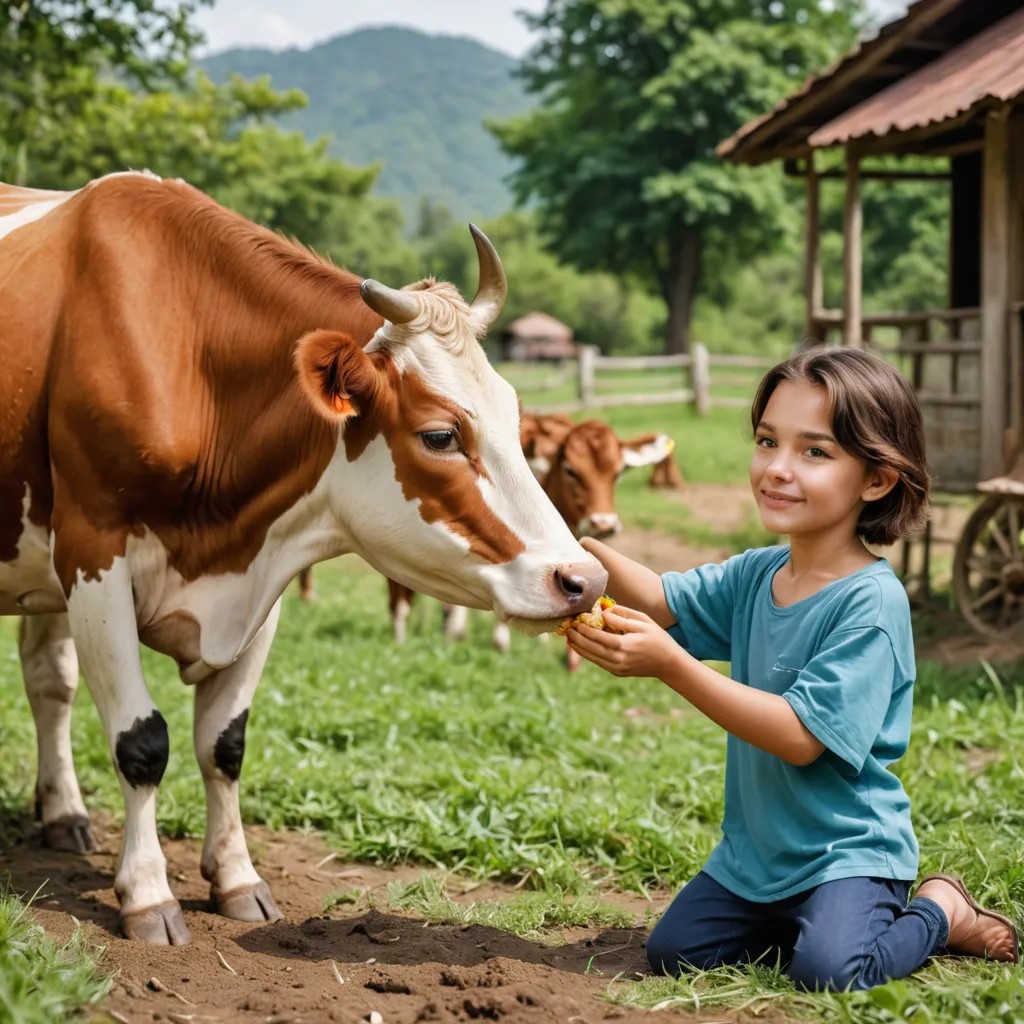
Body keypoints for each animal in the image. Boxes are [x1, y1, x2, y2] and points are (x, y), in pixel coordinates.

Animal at [0, 171, 607, 945]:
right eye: (441, 435)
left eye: (516, 418)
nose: (583, 577)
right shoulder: (92, 556)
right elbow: (142, 743)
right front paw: (147, 894)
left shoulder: (261, 582)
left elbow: (223, 744)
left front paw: (236, 878)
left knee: (49, 681)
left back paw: (64, 811)